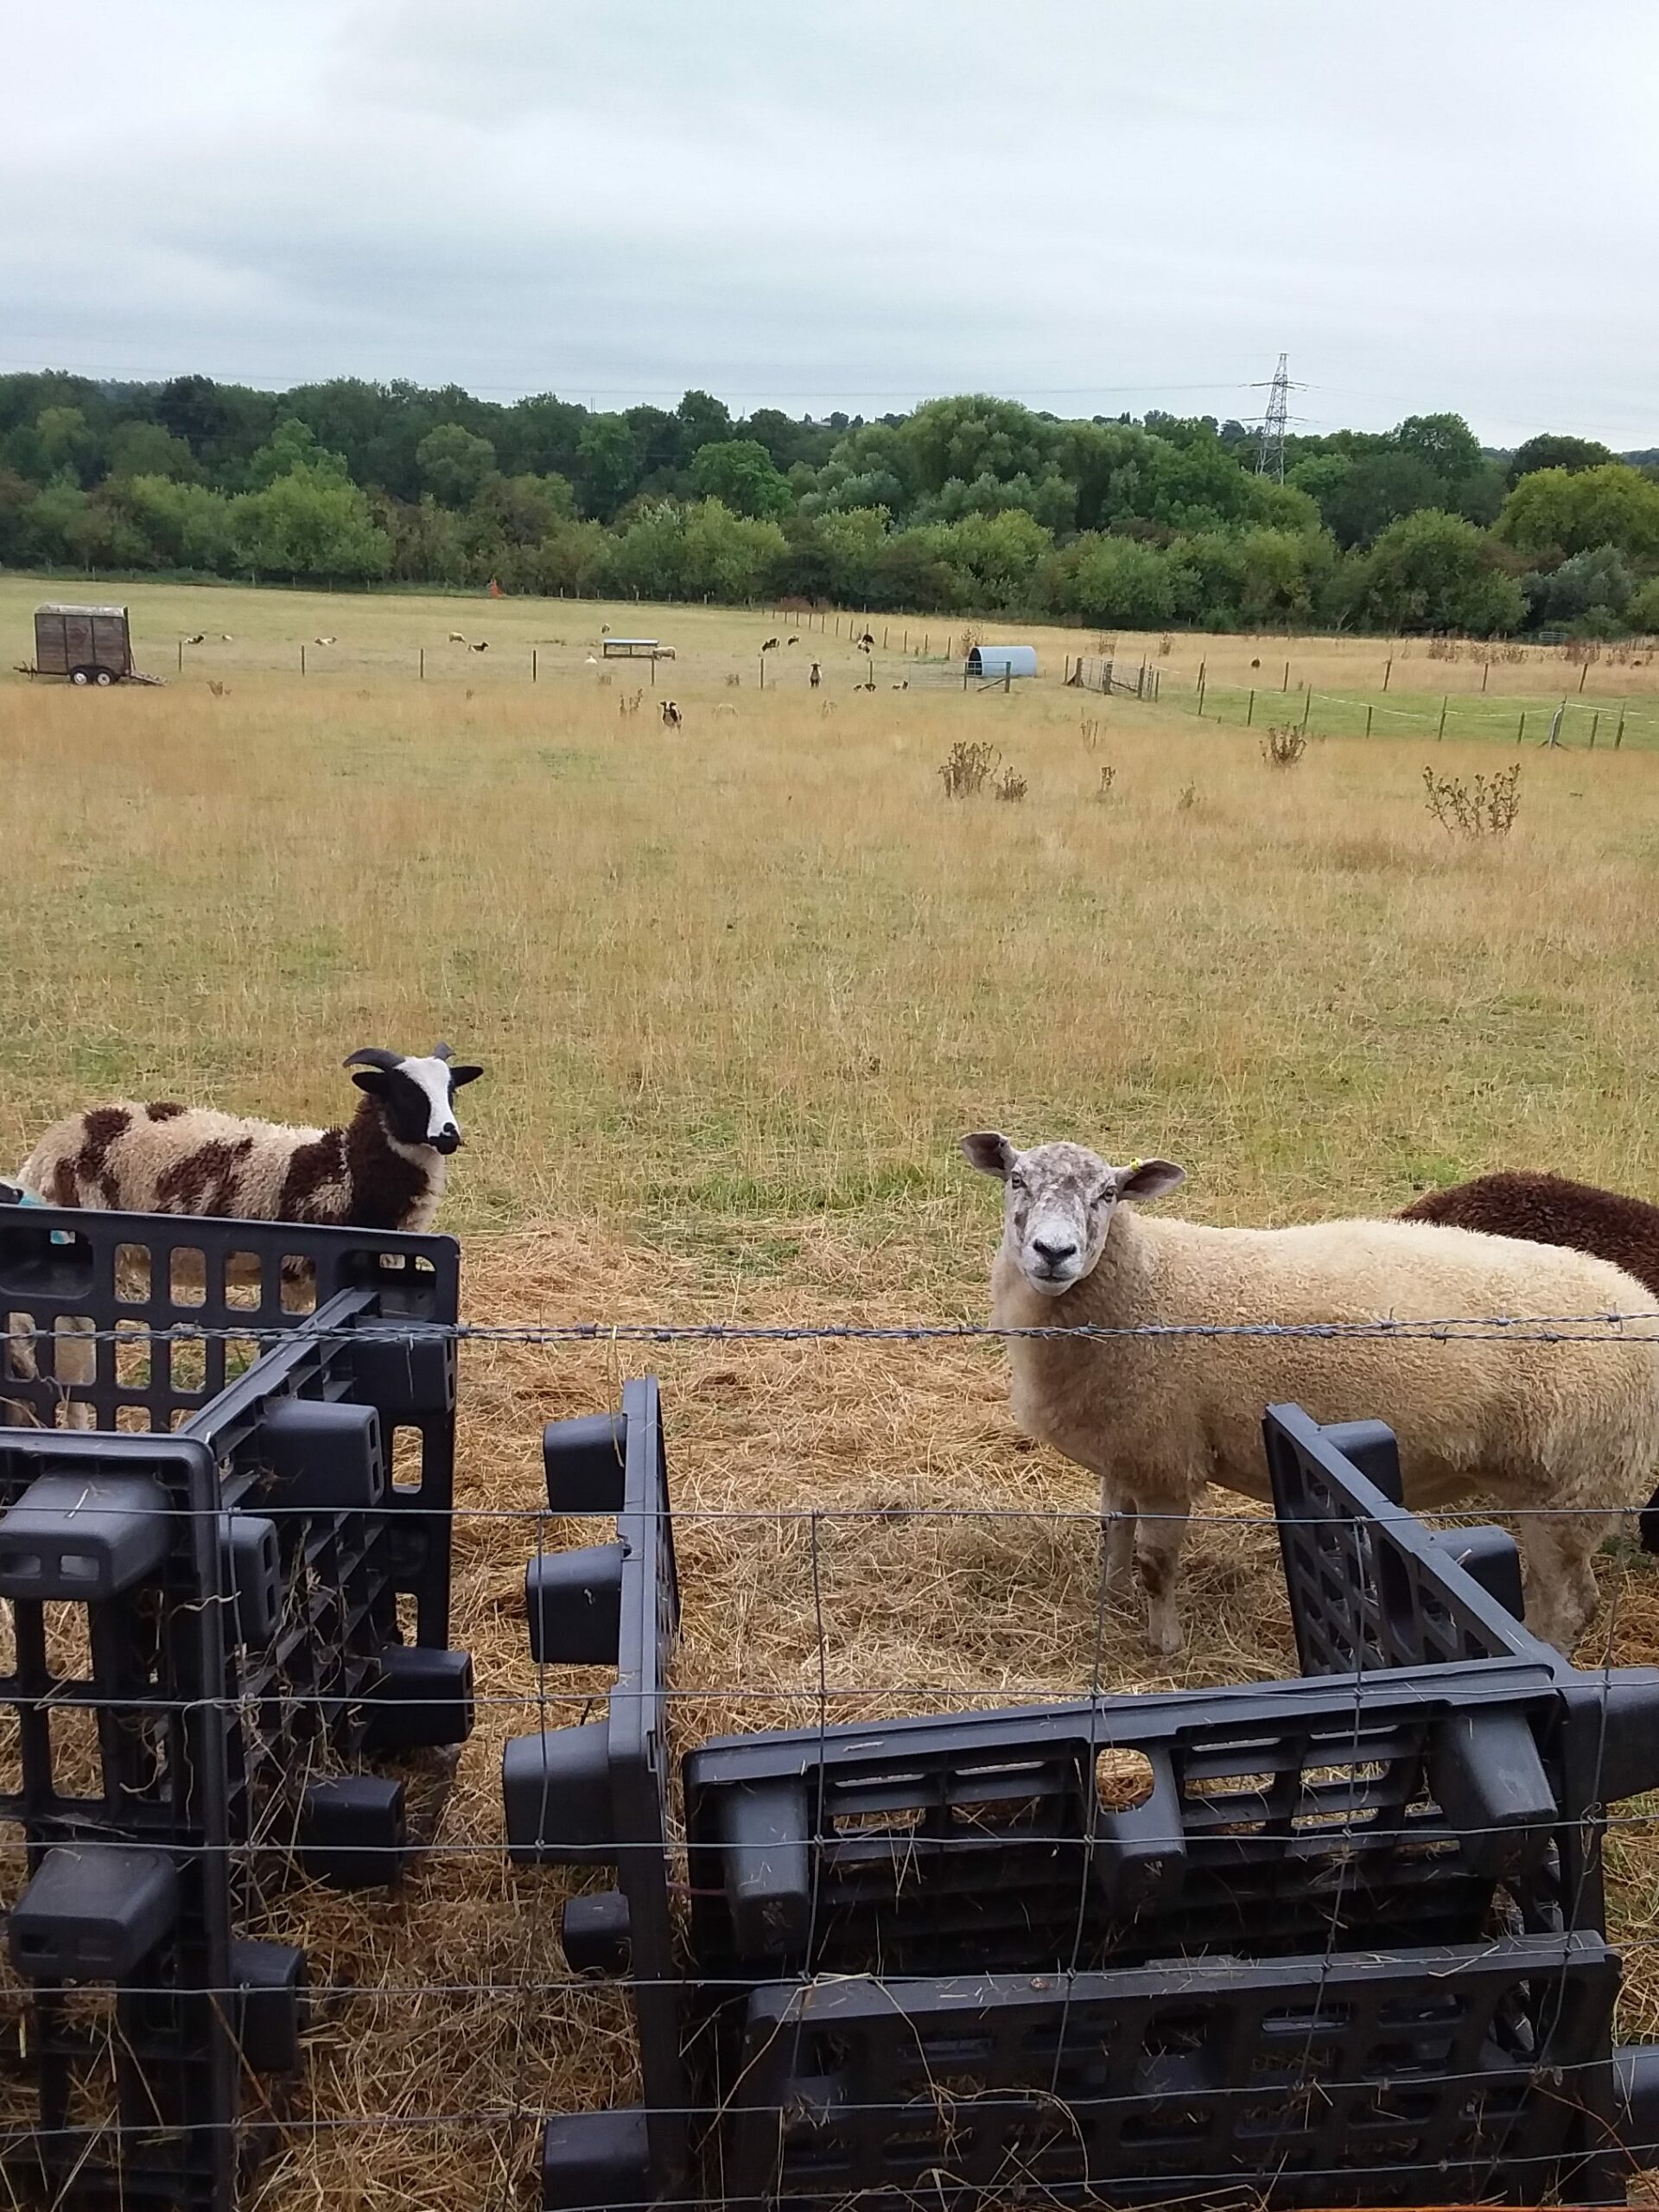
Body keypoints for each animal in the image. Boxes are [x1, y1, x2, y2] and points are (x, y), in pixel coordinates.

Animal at [969, 1141, 1659, 1663]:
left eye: (1107, 1194)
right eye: (1017, 1180)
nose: (1054, 1254)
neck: (1149, 1278)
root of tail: (1639, 1302)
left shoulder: (1166, 1455)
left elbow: (1155, 1564)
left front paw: (1164, 1647)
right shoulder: (1127, 1449)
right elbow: (1112, 1540)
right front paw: (1106, 1611)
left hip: (1573, 1486)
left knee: (1570, 1604)